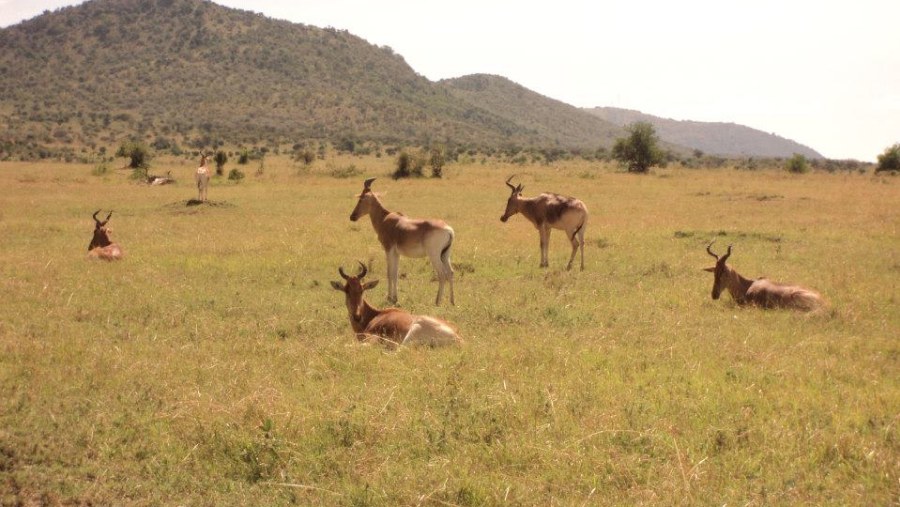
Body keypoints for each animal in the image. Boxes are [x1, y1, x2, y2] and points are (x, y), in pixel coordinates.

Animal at [334, 262, 468, 350]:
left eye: (361, 290)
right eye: (346, 290)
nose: (357, 316)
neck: (376, 315)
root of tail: (459, 339)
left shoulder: (370, 336)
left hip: (413, 332)